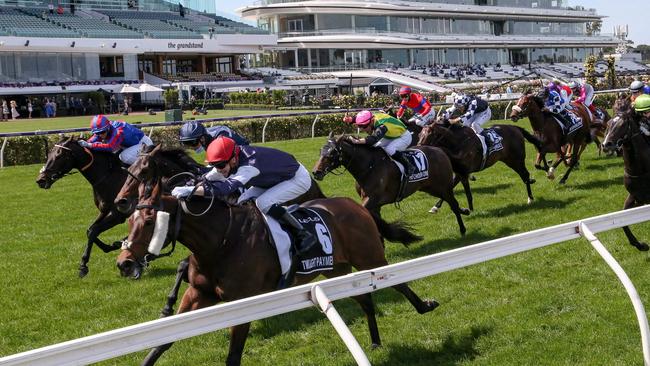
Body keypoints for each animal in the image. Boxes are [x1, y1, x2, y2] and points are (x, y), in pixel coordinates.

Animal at [36, 137, 202, 278]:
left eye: (59, 156)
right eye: (49, 154)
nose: (41, 180)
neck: (106, 175)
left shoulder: (117, 214)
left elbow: (94, 231)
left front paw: (84, 266)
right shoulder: (104, 210)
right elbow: (90, 230)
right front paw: (109, 248)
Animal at [117, 144, 440, 364]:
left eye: (149, 222)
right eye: (131, 221)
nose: (124, 263)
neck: (221, 242)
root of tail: (354, 205)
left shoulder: (243, 305)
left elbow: (232, 357)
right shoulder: (198, 293)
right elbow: (163, 341)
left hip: (369, 257)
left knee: (398, 282)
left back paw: (424, 306)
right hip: (336, 270)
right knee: (365, 299)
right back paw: (374, 342)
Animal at [310, 133, 466, 236]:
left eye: (331, 153)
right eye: (320, 151)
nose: (316, 172)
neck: (368, 166)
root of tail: (440, 150)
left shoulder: (372, 199)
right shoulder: (375, 204)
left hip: (443, 186)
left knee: (453, 203)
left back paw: (463, 228)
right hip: (429, 188)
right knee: (450, 201)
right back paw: (463, 210)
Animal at [600, 94, 648, 252]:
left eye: (622, 125)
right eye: (609, 123)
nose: (606, 145)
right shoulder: (635, 196)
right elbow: (623, 223)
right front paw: (640, 245)